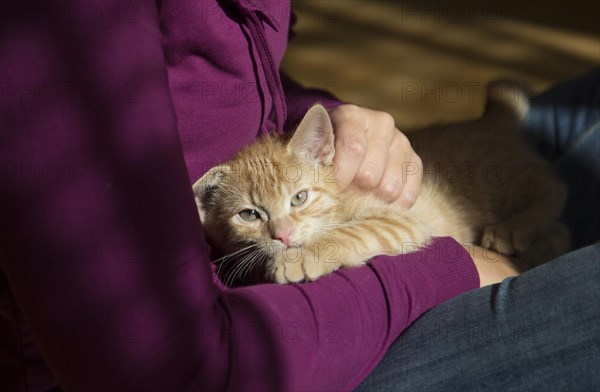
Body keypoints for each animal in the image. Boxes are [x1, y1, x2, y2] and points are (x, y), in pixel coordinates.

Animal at [192, 81, 568, 286]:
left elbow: (351, 232)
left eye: (298, 198)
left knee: (555, 188)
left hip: (507, 179)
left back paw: (512, 230)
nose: (282, 236)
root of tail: (490, 119)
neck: (338, 199)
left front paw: (300, 257)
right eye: (250, 215)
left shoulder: (401, 220)